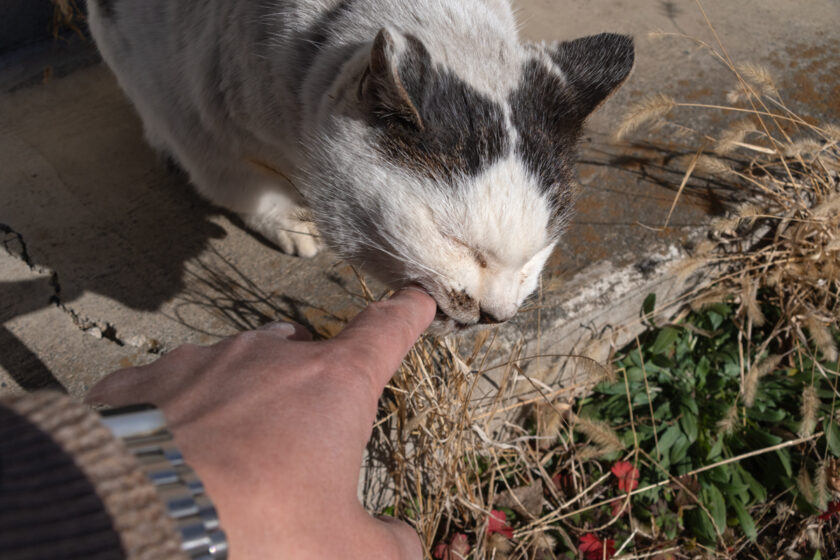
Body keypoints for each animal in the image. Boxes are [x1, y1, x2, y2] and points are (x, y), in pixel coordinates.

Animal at [88, 0, 632, 332]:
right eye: (454, 241)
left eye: (538, 251)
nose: (495, 316)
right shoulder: (194, 122)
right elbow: (238, 185)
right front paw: (287, 222)